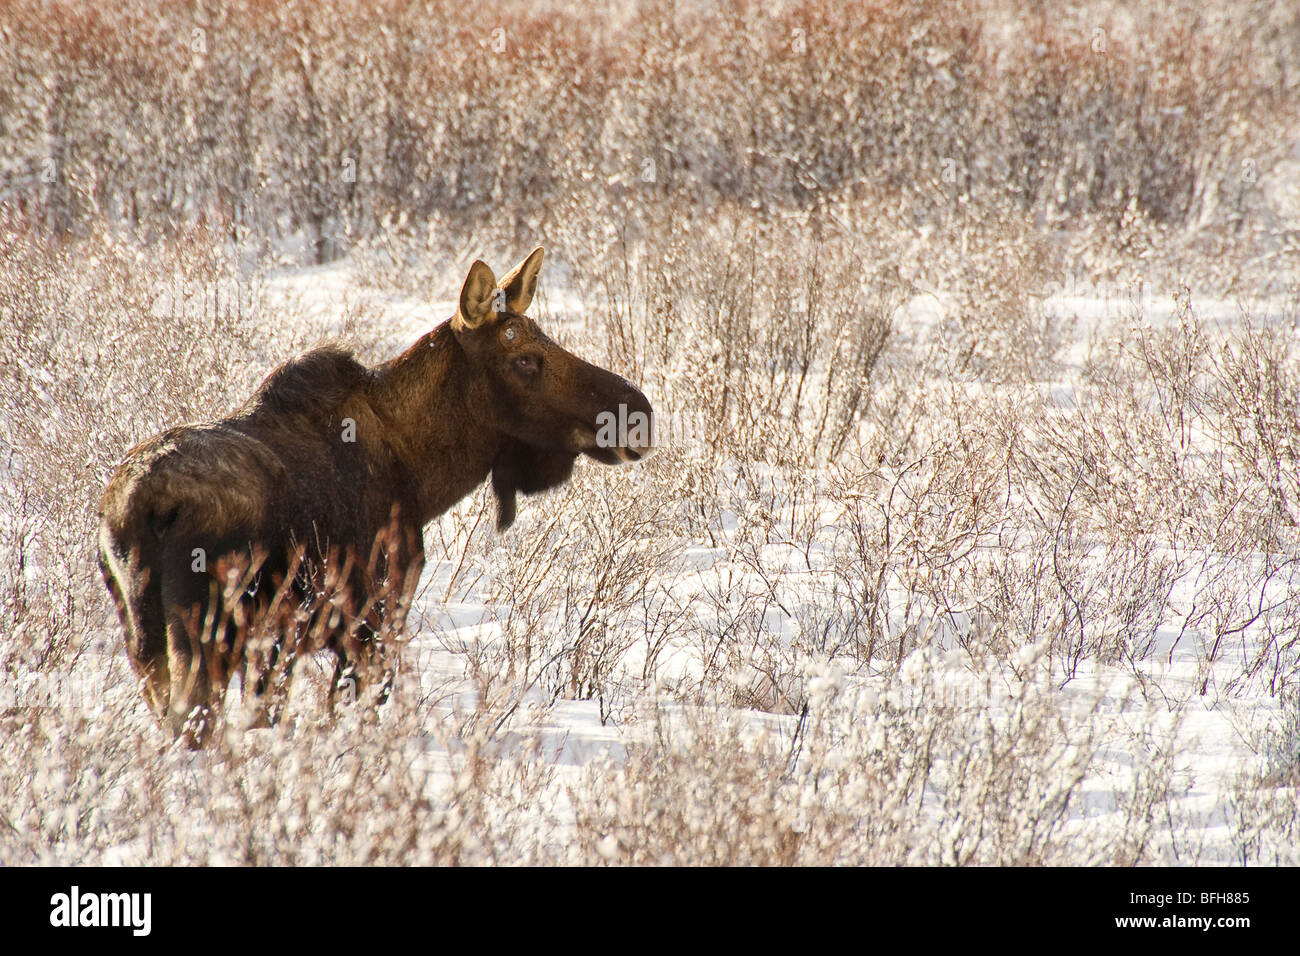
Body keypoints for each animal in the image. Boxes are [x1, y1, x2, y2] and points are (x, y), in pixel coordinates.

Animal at [96, 251, 655, 749]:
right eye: (526, 360)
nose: (637, 412)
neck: (423, 471)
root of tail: (142, 507)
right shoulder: (372, 617)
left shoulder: (283, 647)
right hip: (207, 638)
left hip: (145, 644)